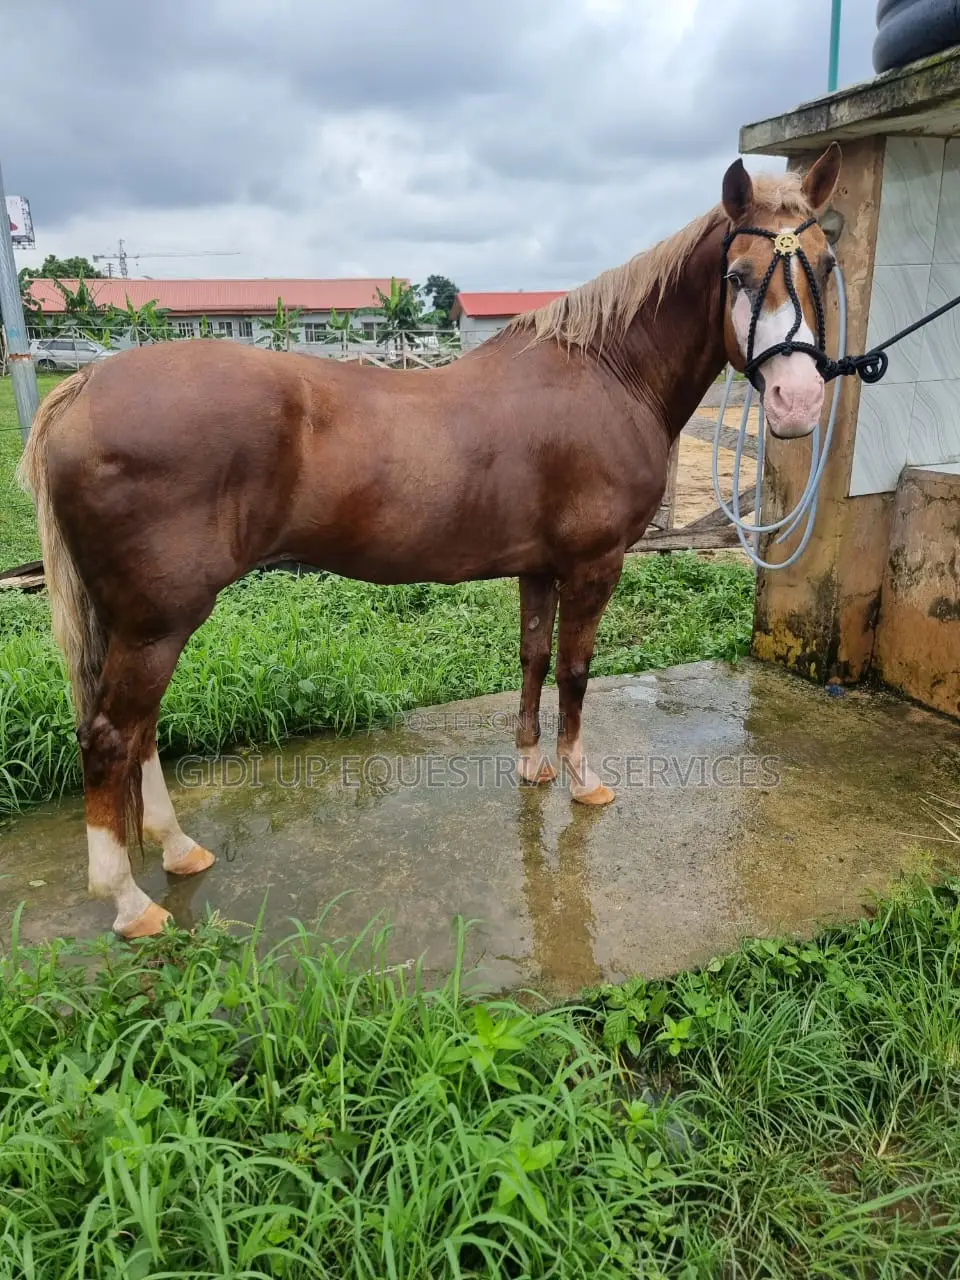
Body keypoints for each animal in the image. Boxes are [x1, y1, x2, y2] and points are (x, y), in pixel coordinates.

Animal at [18, 145, 841, 938]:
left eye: (828, 264)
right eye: (736, 275)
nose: (797, 402)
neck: (608, 373)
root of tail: (80, 390)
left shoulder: (538, 569)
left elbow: (533, 659)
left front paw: (532, 768)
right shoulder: (592, 566)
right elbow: (576, 671)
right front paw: (582, 781)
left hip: (139, 623)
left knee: (140, 733)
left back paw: (178, 849)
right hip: (157, 621)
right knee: (111, 737)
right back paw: (128, 901)